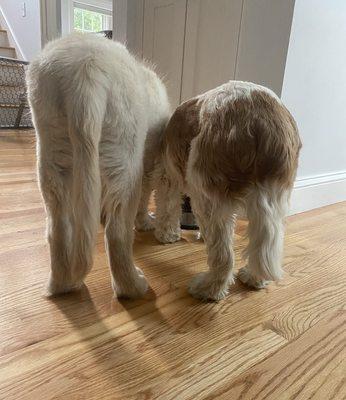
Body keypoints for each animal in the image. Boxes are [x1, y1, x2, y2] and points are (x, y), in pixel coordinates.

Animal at [26, 33, 170, 296]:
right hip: (126, 159)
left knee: (58, 228)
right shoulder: (148, 160)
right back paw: (133, 287)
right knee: (117, 233)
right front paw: (145, 222)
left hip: (51, 151)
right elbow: (145, 196)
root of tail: (85, 73)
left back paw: (60, 285)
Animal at [141, 80, 300, 300]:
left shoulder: (168, 176)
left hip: (207, 193)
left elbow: (168, 208)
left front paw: (167, 235)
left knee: (223, 257)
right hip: (274, 196)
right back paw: (255, 278)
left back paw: (208, 289)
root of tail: (260, 116)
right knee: (264, 245)